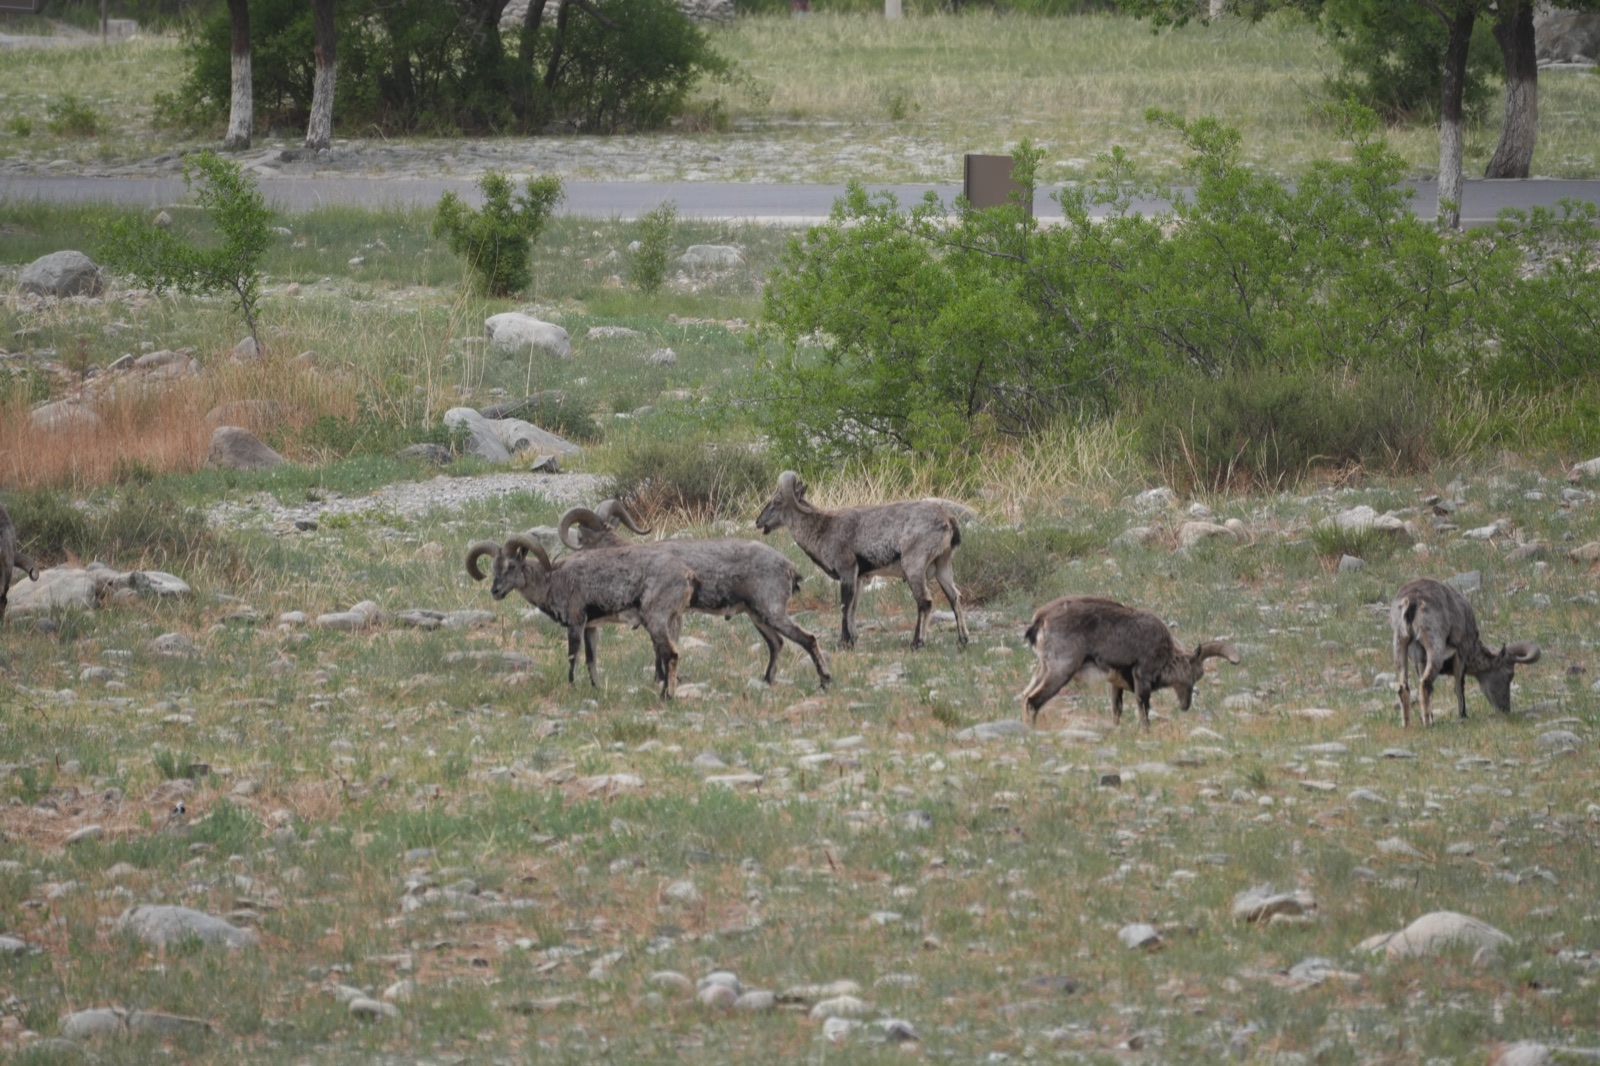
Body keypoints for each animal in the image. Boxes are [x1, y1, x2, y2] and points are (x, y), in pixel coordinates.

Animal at [465, 533, 695, 698]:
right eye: (493, 567)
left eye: (512, 565)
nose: (495, 591)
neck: (552, 580)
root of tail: (686, 575)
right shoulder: (591, 626)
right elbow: (591, 659)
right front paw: (597, 688)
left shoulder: (575, 622)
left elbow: (572, 656)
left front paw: (572, 687)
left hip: (657, 620)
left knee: (670, 654)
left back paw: (665, 695)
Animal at [558, 500, 831, 688]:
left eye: (580, 537)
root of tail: (789, 566)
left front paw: (661, 678)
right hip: (758, 615)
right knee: (777, 643)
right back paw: (766, 680)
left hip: (772, 609)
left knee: (807, 639)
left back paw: (824, 680)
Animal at [754, 471, 968, 650]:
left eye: (777, 502)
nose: (758, 522)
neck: (824, 528)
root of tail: (948, 520)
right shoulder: (858, 578)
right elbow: (853, 607)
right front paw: (853, 638)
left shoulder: (847, 569)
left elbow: (844, 605)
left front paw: (844, 642)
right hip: (943, 566)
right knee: (954, 597)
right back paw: (963, 640)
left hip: (914, 566)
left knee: (925, 602)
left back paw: (917, 643)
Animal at [1022, 595, 1240, 729]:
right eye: (1197, 674)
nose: (1185, 705)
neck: (1165, 653)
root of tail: (1040, 619)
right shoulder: (1142, 676)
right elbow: (1144, 711)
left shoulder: (1115, 684)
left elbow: (1116, 711)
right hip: (1061, 670)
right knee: (1033, 701)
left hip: (1043, 669)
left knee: (1025, 696)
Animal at [1390, 577, 1541, 727]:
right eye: (1509, 674)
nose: (1505, 709)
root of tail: (1411, 601)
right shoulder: (1460, 652)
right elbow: (1459, 686)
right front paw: (1462, 714)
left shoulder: (1421, 661)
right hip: (1434, 645)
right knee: (1425, 683)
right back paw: (1428, 724)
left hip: (1400, 643)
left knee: (1403, 687)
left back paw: (1407, 724)